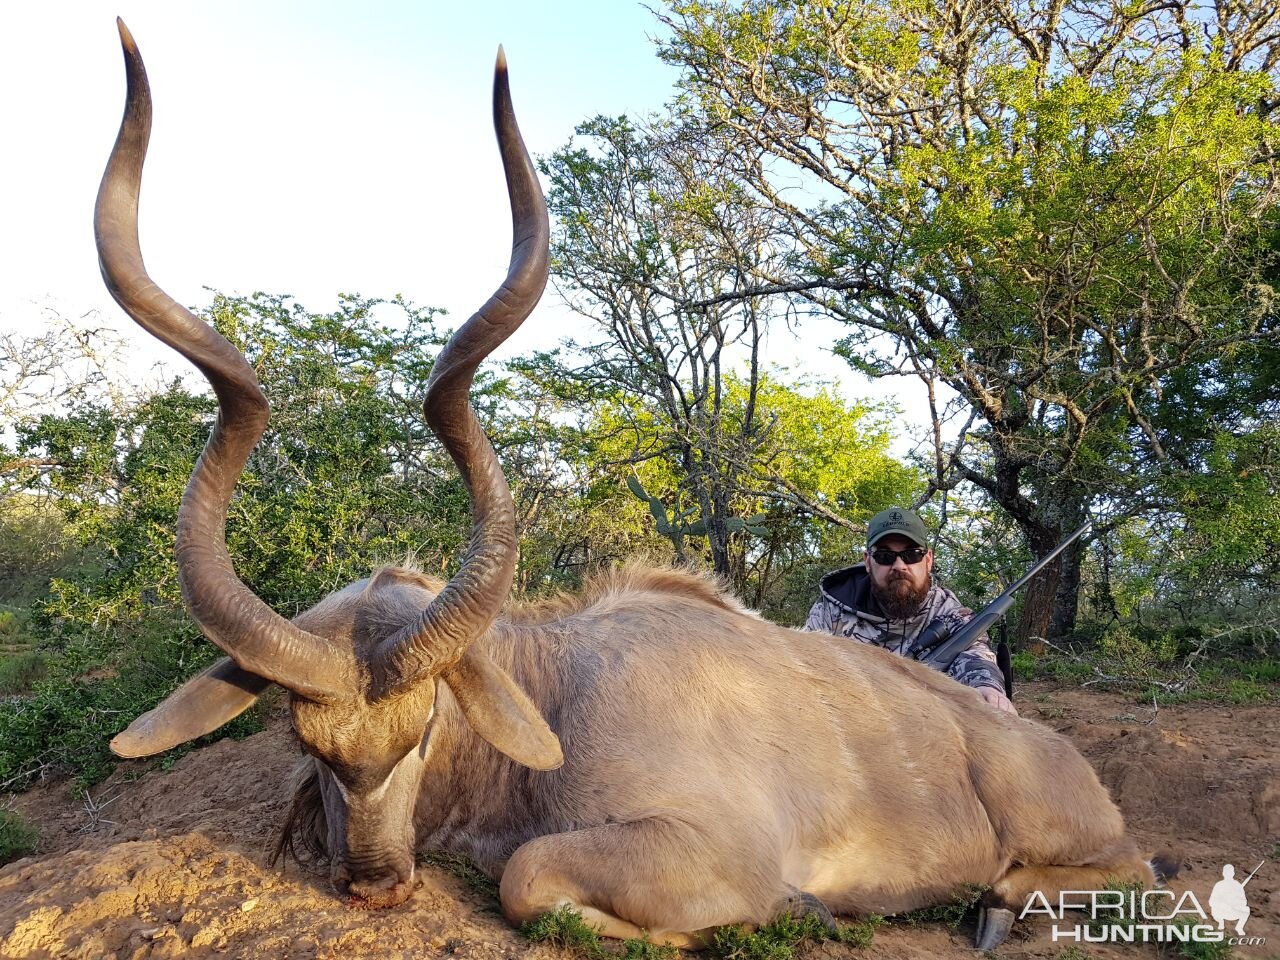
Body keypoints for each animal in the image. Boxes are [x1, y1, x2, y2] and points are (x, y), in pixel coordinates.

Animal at [94, 18, 1167, 952]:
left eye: (425, 726)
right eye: (305, 742)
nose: (375, 883)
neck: (552, 691)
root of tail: (1070, 764)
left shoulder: (704, 849)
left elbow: (530, 880)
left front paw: (783, 913)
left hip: (1069, 838)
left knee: (1130, 870)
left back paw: (999, 900)